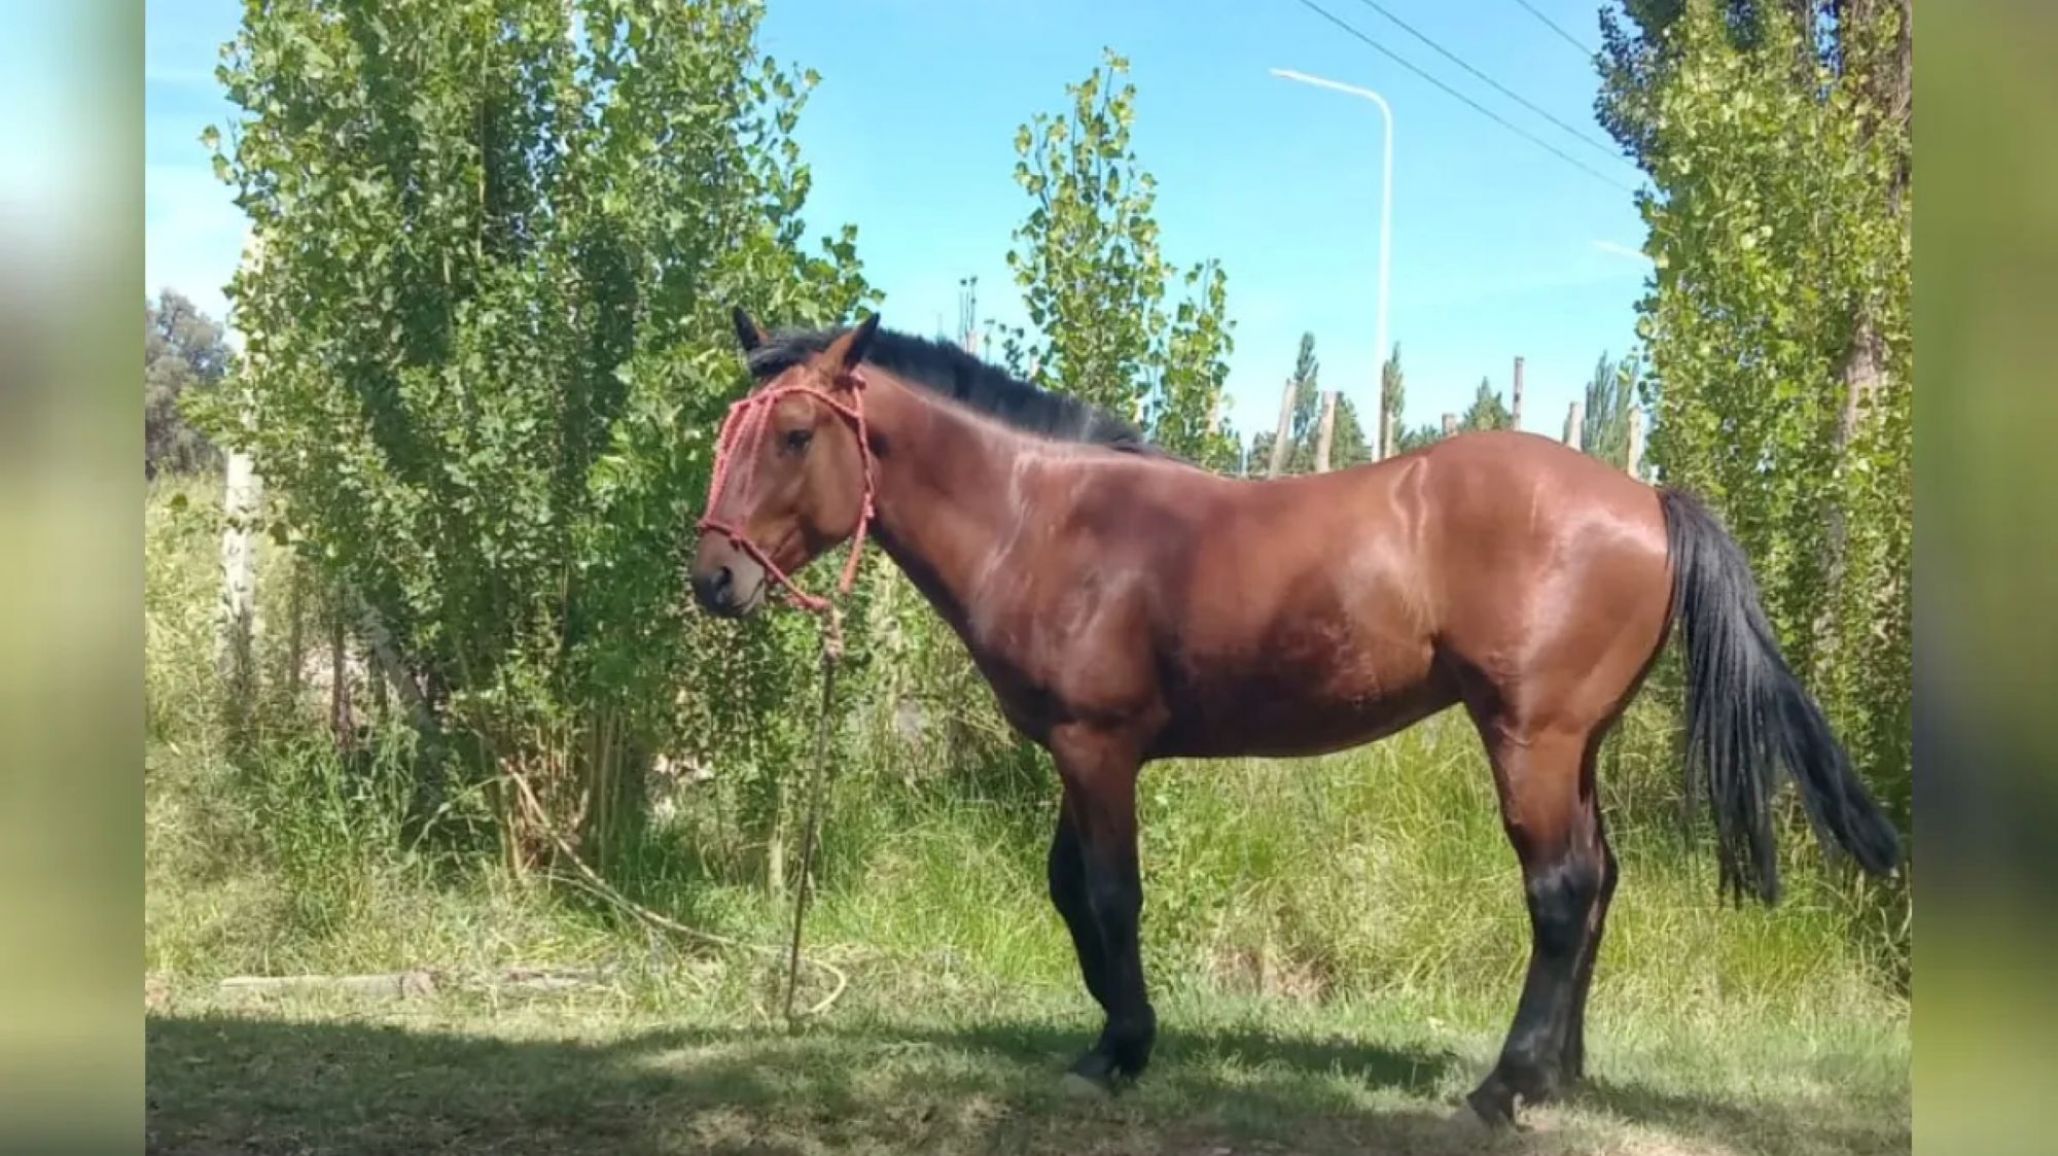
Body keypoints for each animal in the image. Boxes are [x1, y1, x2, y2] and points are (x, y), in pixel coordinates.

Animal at [689, 309, 1902, 1127]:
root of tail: (1646, 497)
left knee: (1559, 894)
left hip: (1532, 741)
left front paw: (1125, 1046)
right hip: (1578, 747)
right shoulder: (1081, 755)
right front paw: (1108, 1036)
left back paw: (1501, 1089)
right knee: (1599, 884)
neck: (1047, 519)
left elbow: (1110, 895)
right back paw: (1560, 1076)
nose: (713, 579)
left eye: (794, 434)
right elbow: (1069, 891)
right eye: (726, 430)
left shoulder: (1098, 748)